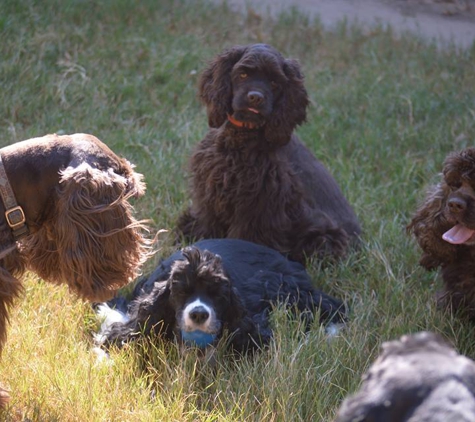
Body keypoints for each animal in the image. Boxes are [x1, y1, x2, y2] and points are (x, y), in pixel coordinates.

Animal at [178, 44, 360, 266]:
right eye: (243, 74)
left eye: (274, 82)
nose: (255, 97)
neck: (240, 138)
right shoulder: (210, 190)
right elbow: (207, 222)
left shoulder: (260, 205)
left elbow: (247, 238)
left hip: (323, 238)